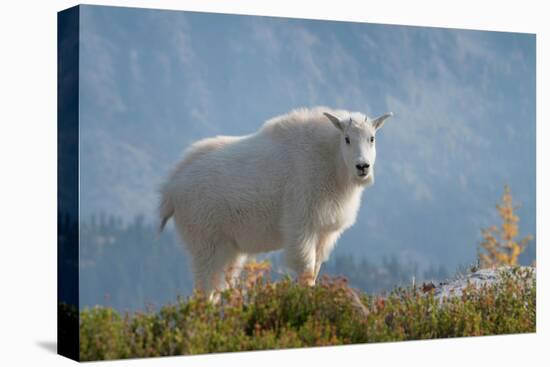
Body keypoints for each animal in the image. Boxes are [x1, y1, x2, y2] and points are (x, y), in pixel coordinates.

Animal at [157, 105, 394, 300]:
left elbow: (316, 267)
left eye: (372, 138)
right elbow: (306, 268)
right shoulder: (301, 222)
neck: (330, 161)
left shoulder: (324, 231)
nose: (362, 167)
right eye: (347, 138)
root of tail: (170, 189)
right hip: (204, 240)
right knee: (204, 288)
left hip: (228, 247)